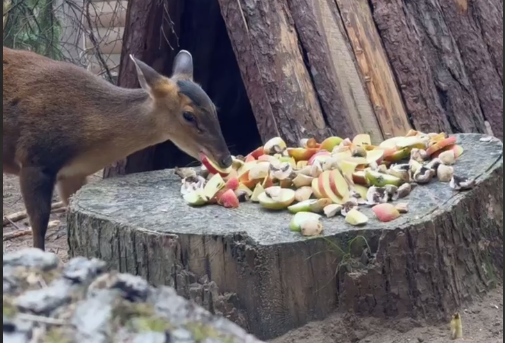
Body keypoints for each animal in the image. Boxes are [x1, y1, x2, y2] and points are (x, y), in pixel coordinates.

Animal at [2, 47, 232, 251]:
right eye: (188, 115)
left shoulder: (73, 175)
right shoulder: (34, 158)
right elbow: (39, 226)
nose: (226, 159)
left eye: (214, 107)